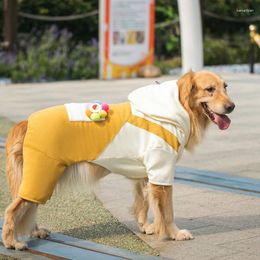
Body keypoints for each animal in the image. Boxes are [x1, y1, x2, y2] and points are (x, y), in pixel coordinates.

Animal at [2, 70, 235, 250]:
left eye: (225, 86)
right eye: (210, 89)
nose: (232, 106)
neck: (177, 107)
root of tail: (26, 121)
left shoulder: (145, 174)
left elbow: (143, 204)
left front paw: (147, 227)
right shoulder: (161, 173)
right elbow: (167, 212)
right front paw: (174, 233)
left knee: (27, 208)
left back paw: (35, 232)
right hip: (42, 175)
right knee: (13, 210)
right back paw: (11, 242)